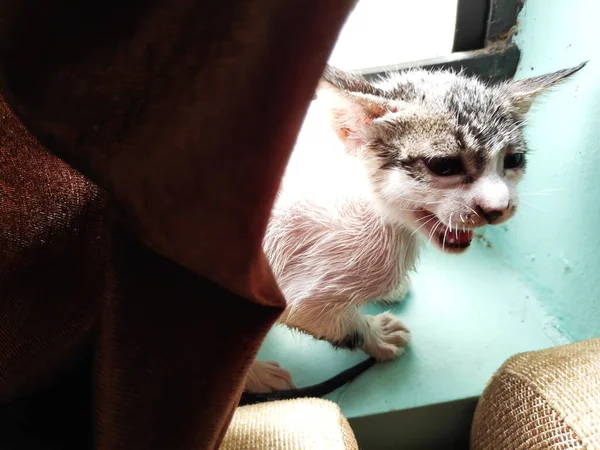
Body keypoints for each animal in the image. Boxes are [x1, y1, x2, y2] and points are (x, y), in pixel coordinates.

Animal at [243, 61, 580, 396]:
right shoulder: (293, 291)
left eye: (514, 160)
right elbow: (335, 322)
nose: (496, 208)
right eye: (444, 166)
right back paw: (259, 377)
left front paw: (390, 293)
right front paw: (377, 336)